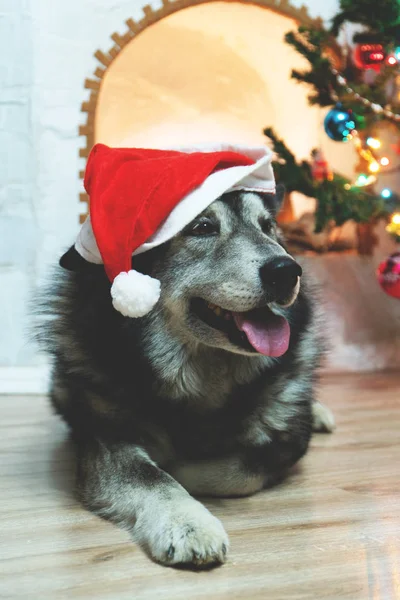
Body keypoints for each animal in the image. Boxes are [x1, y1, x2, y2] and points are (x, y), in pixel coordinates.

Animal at [37, 186, 332, 568]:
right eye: (202, 227)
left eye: (268, 227)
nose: (287, 270)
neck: (200, 388)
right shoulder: (109, 439)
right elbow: (150, 476)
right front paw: (186, 521)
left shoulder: (288, 440)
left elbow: (242, 470)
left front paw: (180, 469)